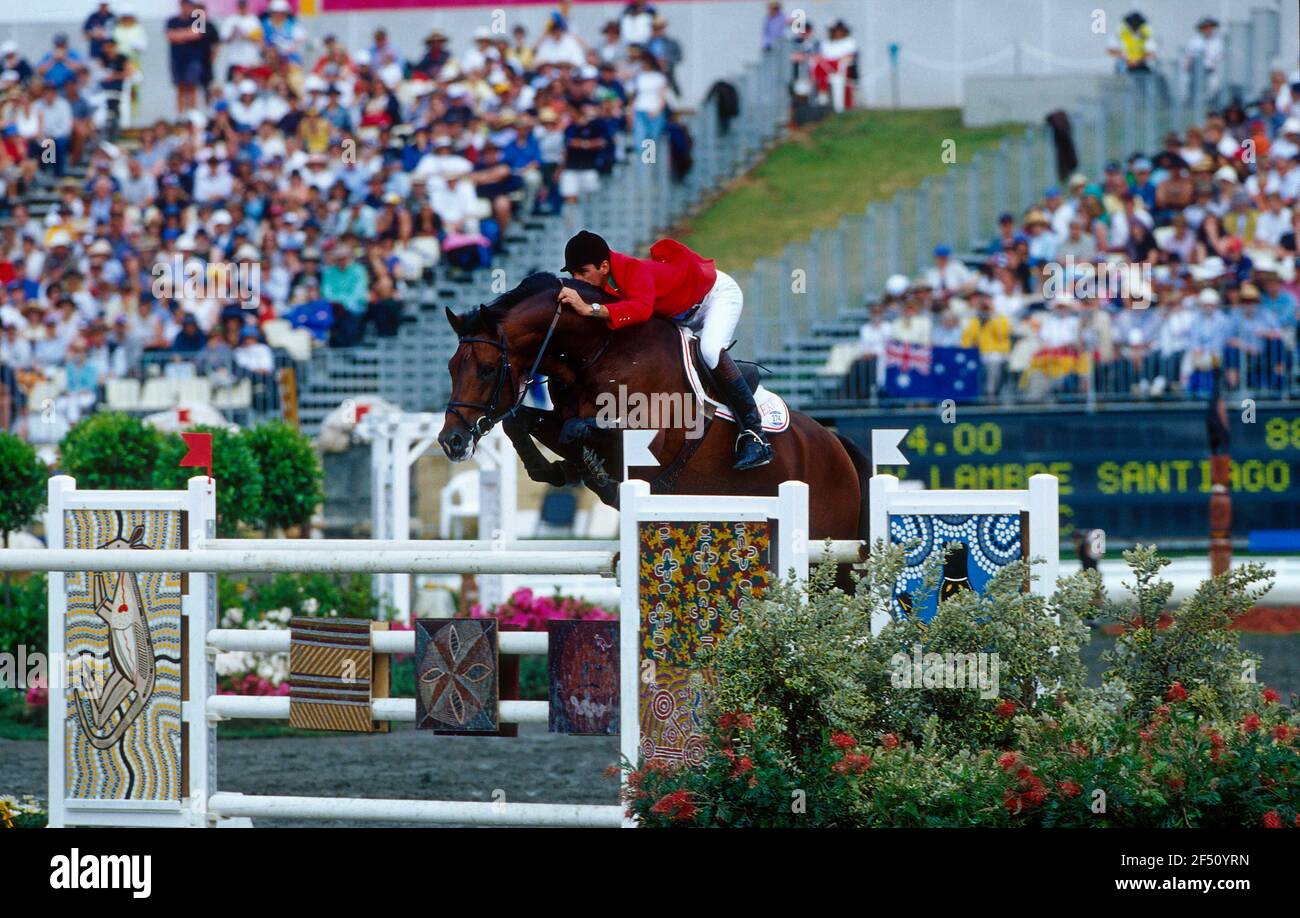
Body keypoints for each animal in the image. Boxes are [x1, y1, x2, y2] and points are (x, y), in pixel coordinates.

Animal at [439, 271, 873, 543]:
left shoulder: (646, 434)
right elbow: (524, 422)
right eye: (450, 367)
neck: (599, 350)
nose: (451, 441)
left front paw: (599, 480)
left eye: (487, 368)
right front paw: (553, 469)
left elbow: (574, 431)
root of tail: (836, 443)